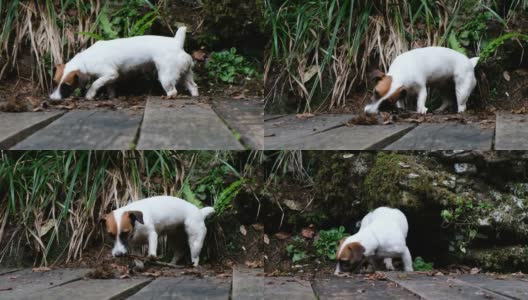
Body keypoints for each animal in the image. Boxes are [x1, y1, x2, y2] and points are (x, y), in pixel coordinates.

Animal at [51, 26, 198, 101]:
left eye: (66, 85)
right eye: (54, 82)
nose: (53, 99)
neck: (85, 60)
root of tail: (176, 43)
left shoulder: (110, 74)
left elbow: (95, 83)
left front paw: (90, 95)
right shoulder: (110, 79)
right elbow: (109, 87)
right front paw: (111, 96)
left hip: (166, 76)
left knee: (173, 91)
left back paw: (168, 96)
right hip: (185, 73)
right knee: (193, 86)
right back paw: (194, 95)